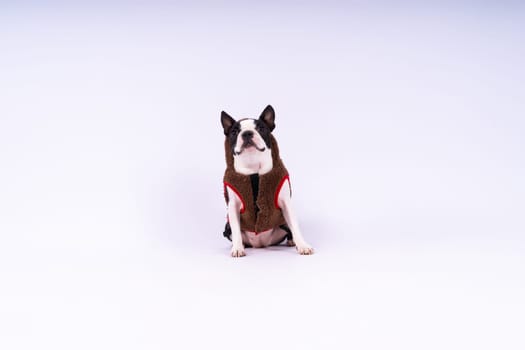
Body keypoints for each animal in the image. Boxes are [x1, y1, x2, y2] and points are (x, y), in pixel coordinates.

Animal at [220, 104, 314, 258]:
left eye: (261, 128)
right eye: (234, 132)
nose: (247, 133)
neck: (253, 166)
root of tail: (261, 245)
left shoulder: (285, 202)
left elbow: (295, 226)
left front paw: (303, 245)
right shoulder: (233, 206)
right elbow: (236, 229)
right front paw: (237, 248)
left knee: (289, 230)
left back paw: (292, 241)